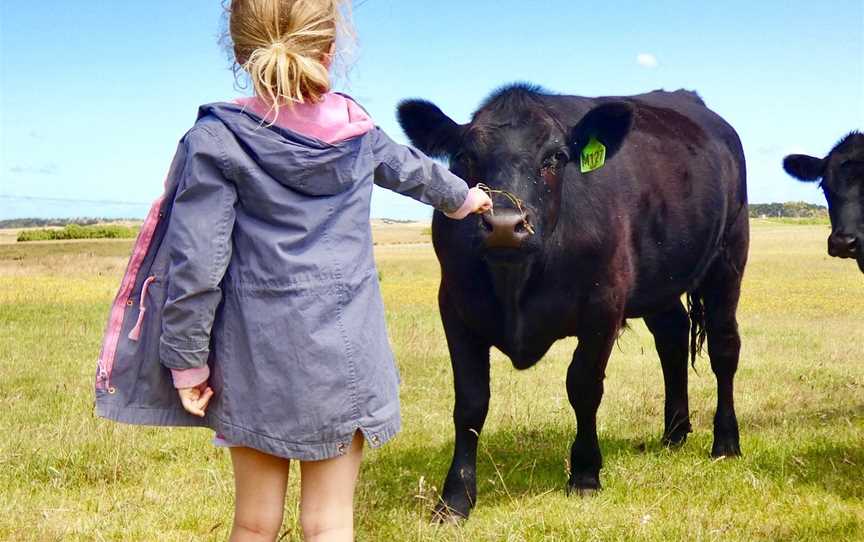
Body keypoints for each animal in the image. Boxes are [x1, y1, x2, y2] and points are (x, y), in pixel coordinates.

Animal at [398, 85, 748, 524]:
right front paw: (455, 499)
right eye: (465, 157)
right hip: (660, 281)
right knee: (672, 338)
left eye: (555, 157)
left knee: (723, 348)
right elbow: (471, 402)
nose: (504, 226)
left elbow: (583, 387)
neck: (517, 280)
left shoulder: (603, 306)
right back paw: (674, 433)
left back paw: (726, 442)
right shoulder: (456, 307)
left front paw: (584, 475)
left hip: (728, 257)